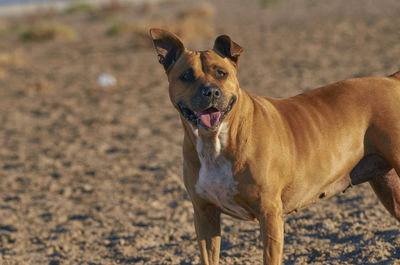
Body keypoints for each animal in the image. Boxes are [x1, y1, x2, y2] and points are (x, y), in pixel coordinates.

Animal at [148, 27, 400, 262]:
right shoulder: (204, 215)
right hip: (388, 185)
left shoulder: (269, 214)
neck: (216, 142)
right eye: (187, 76)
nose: (211, 91)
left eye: (221, 73)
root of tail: (391, 80)